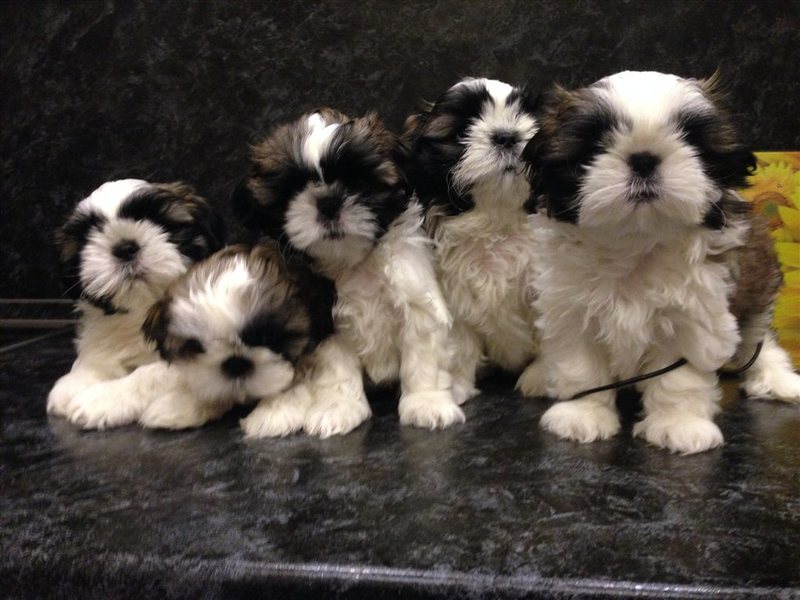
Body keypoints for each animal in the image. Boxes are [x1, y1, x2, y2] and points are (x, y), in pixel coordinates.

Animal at [47, 179, 224, 421]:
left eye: (160, 223)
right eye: (90, 235)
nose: (125, 248)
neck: (144, 308)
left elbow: (150, 374)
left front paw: (102, 398)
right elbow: (96, 360)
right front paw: (75, 382)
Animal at [235, 108, 464, 438]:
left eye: (358, 181)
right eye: (293, 188)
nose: (328, 202)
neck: (355, 263)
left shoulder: (417, 301)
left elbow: (423, 358)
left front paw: (427, 403)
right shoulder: (328, 324)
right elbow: (337, 369)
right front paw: (338, 408)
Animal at [402, 77, 545, 400]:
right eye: (460, 132)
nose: (506, 136)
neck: (496, 222)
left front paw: (540, 376)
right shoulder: (455, 299)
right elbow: (461, 344)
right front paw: (457, 386)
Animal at [523, 70, 800, 454]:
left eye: (689, 139)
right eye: (594, 147)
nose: (643, 159)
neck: (636, 243)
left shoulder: (694, 316)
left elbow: (678, 378)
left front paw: (678, 424)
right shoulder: (571, 310)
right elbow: (581, 367)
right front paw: (582, 415)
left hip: (757, 283)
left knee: (758, 336)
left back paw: (777, 377)